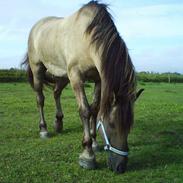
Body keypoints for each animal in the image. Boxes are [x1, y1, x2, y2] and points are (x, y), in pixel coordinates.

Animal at [21, 0, 144, 174]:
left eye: (130, 125)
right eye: (112, 124)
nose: (120, 167)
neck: (88, 39)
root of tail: (36, 27)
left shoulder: (99, 79)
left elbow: (95, 109)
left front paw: (94, 142)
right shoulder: (76, 77)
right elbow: (85, 110)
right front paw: (87, 154)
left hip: (62, 76)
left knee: (56, 93)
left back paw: (58, 123)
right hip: (38, 69)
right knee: (40, 99)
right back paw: (44, 130)